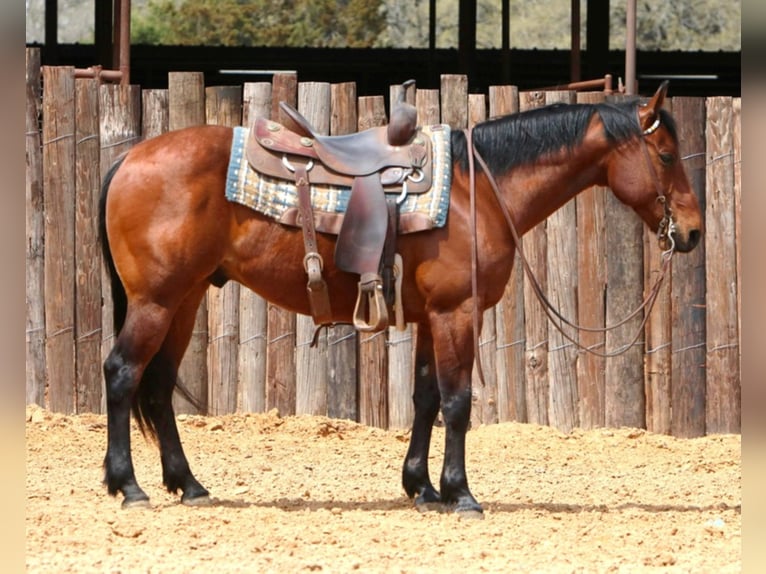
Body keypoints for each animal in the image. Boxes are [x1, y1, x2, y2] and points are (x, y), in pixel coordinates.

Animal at [100, 81, 704, 516]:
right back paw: (128, 486)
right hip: (157, 300)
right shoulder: (457, 313)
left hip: (184, 299)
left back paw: (188, 484)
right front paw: (460, 493)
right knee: (123, 373)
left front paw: (422, 488)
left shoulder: (432, 318)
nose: (694, 232)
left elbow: (426, 398)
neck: (476, 191)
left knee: (157, 385)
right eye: (666, 156)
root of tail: (129, 160)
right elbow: (457, 402)